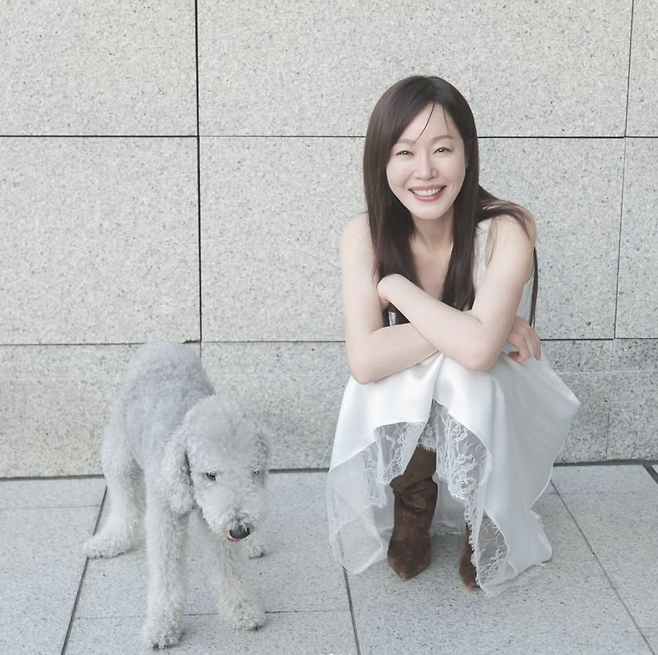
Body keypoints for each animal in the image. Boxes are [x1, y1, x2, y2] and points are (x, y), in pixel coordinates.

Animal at [84, 342, 270, 648]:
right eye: (210, 474)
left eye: (253, 471)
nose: (240, 530)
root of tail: (160, 343)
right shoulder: (165, 516)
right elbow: (166, 575)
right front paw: (161, 627)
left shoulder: (218, 522)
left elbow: (229, 568)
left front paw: (242, 611)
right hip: (118, 450)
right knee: (124, 499)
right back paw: (108, 541)